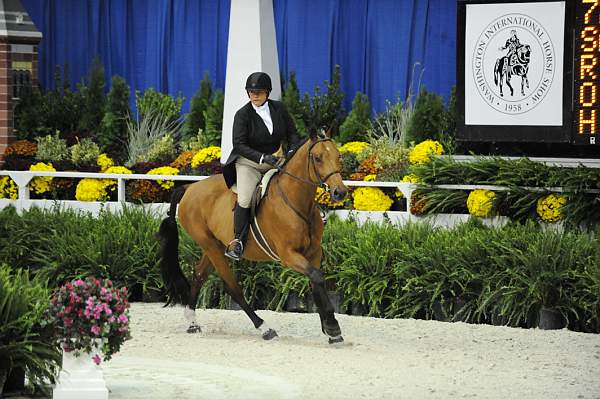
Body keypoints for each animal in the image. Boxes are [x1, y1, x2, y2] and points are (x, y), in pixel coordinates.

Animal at [157, 130, 350, 346]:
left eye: (338, 156)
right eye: (317, 158)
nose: (339, 192)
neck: (297, 203)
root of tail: (190, 188)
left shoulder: (314, 252)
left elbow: (316, 282)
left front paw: (330, 329)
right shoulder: (288, 255)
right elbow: (317, 277)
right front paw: (332, 326)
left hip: (215, 245)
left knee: (199, 275)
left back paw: (192, 323)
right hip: (210, 246)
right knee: (232, 287)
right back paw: (265, 328)